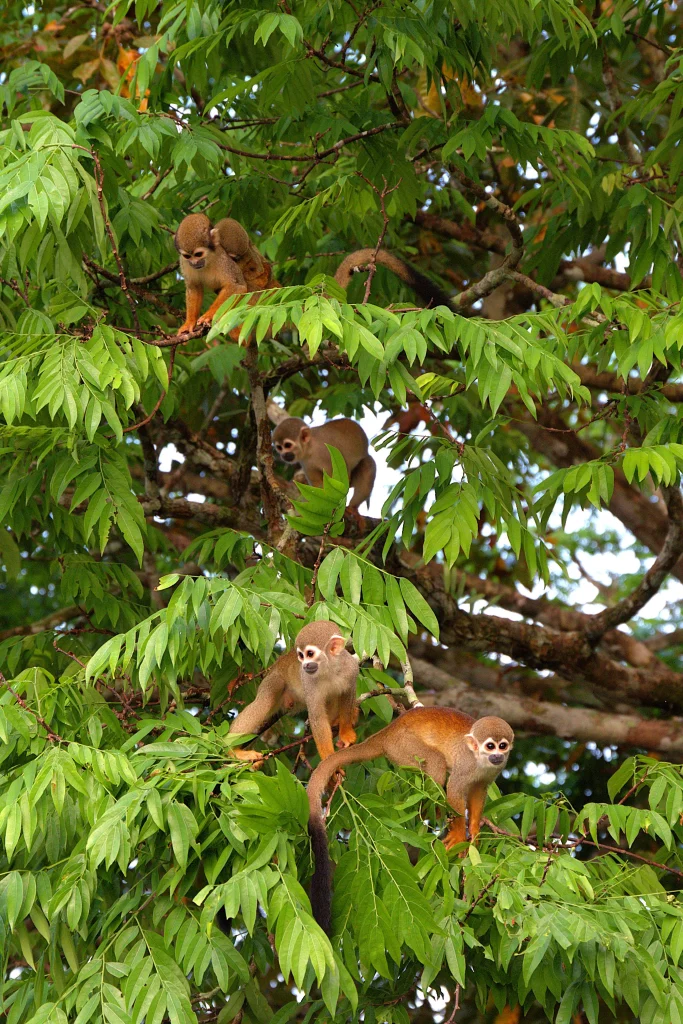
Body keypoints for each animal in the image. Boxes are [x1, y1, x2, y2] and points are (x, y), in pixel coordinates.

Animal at [229, 620, 359, 765]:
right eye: (301, 656)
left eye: (310, 653)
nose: (305, 665)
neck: (329, 668)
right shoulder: (308, 681)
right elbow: (317, 717)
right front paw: (329, 760)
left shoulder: (351, 668)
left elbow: (348, 695)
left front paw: (346, 732)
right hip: (273, 680)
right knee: (265, 701)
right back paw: (232, 750)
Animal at [306, 708, 514, 932]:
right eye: (490, 746)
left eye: (502, 746)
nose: (497, 756)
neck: (480, 761)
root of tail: (386, 733)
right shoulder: (466, 764)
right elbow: (456, 790)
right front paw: (459, 835)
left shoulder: (492, 771)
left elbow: (479, 790)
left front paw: (474, 831)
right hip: (403, 747)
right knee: (436, 764)